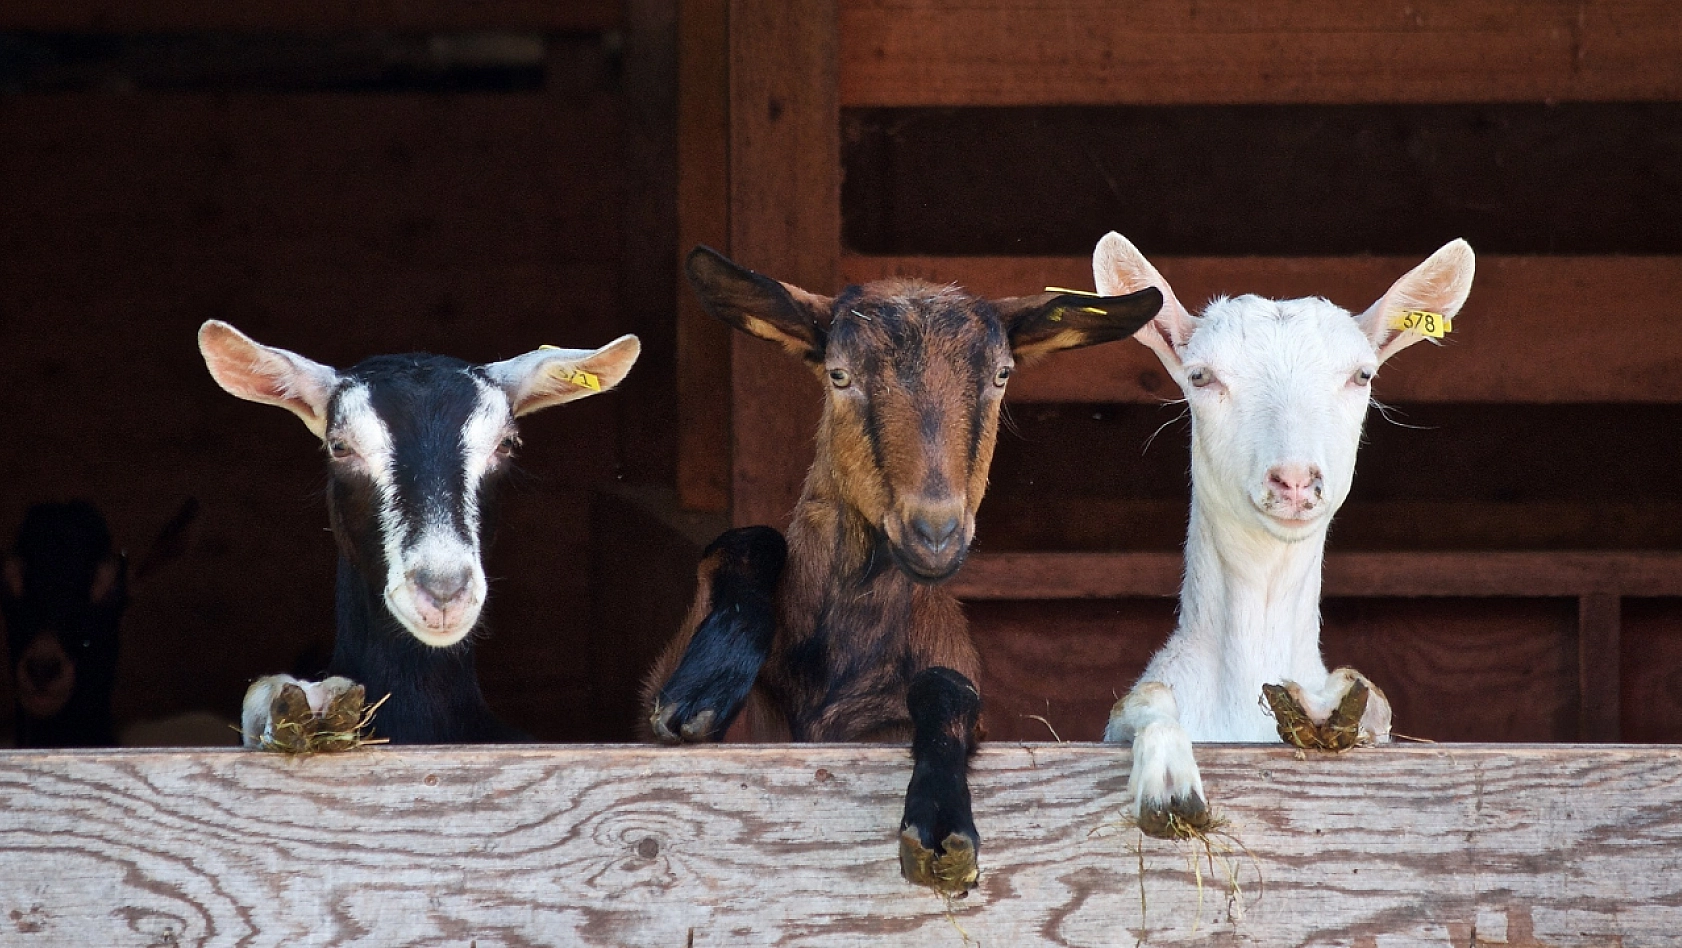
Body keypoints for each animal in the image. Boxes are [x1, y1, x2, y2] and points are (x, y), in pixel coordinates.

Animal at [642, 248, 1157, 894]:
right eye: (839, 375)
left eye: (1001, 375)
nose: (934, 533)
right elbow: (747, 541)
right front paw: (704, 687)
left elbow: (949, 688)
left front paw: (940, 824)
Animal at [1089, 231, 1473, 837]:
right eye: (1201, 376)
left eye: (1362, 375)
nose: (1293, 480)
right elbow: (1143, 697)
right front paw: (1170, 784)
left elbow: (1374, 700)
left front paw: (1322, 706)